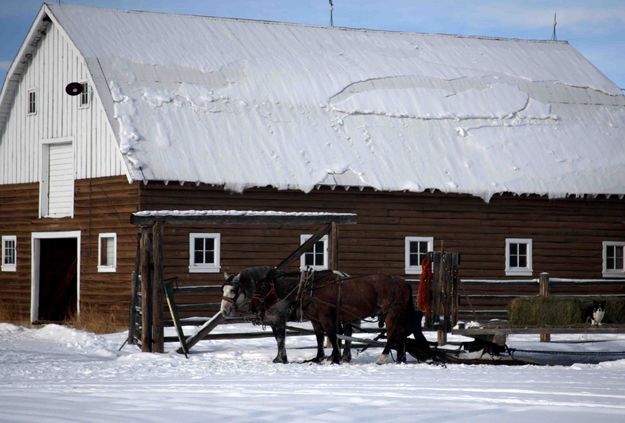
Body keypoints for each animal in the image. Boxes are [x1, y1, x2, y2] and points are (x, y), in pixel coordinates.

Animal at [219, 268, 356, 364]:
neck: (271, 291)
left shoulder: (278, 320)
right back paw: (336, 356)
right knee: (339, 332)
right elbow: (278, 339)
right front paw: (280, 358)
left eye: (233, 290)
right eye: (223, 290)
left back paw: (343, 357)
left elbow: (280, 339)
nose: (224, 311)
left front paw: (281, 359)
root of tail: (344, 276)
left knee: (343, 331)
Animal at [256, 268, 426, 364]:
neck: (311, 288)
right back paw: (400, 358)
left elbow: (332, 336)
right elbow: (320, 338)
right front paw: (318, 358)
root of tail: (403, 283)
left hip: (392, 313)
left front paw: (336, 358)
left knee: (392, 335)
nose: (258, 308)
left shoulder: (326, 318)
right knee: (400, 335)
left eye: (263, 286)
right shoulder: (316, 320)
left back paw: (382, 358)